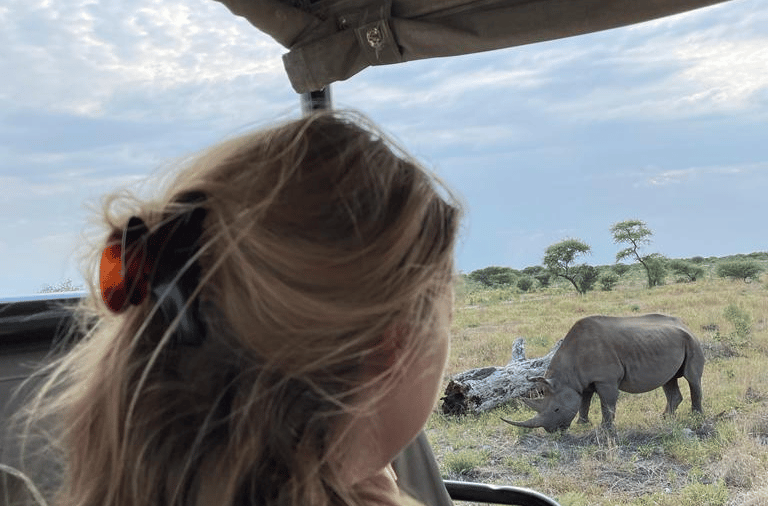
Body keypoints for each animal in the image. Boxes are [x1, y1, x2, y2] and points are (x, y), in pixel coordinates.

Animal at [501, 314, 704, 432]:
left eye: (556, 409)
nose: (552, 431)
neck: (566, 376)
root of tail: (685, 325)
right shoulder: (582, 382)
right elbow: (584, 401)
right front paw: (582, 424)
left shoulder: (606, 379)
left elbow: (607, 403)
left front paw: (606, 429)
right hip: (670, 342)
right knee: (668, 380)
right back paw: (664, 419)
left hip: (692, 342)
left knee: (692, 379)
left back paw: (696, 418)